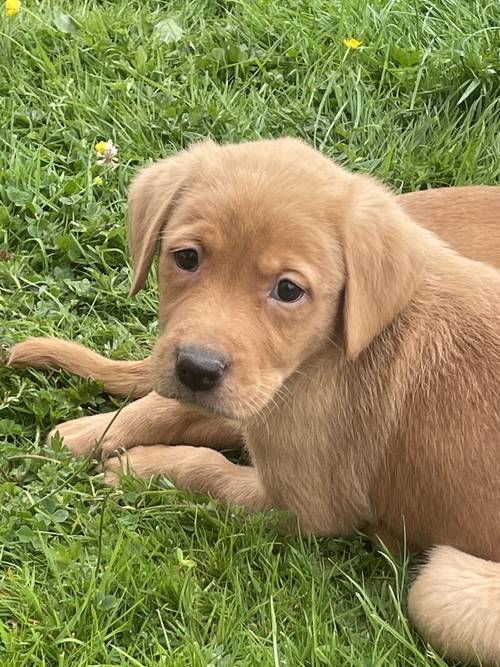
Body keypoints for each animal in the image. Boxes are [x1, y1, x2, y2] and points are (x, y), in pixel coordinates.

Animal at [6, 138, 500, 664]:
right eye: (186, 258)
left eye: (288, 290)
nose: (197, 368)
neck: (331, 352)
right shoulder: (258, 399)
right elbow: (171, 407)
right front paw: (89, 432)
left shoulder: (301, 505)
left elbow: (210, 470)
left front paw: (140, 467)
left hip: (440, 584)